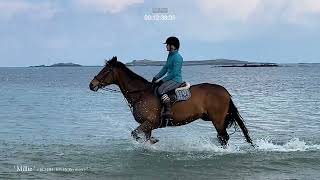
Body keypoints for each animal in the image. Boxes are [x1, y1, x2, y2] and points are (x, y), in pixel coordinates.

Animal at [88, 56, 252, 146]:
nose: (92, 84)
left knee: (224, 137)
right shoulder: (148, 126)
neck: (141, 93)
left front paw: (151, 142)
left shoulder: (149, 122)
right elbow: (145, 138)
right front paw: (151, 144)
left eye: (106, 70)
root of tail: (225, 91)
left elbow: (134, 134)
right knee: (222, 137)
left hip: (217, 120)